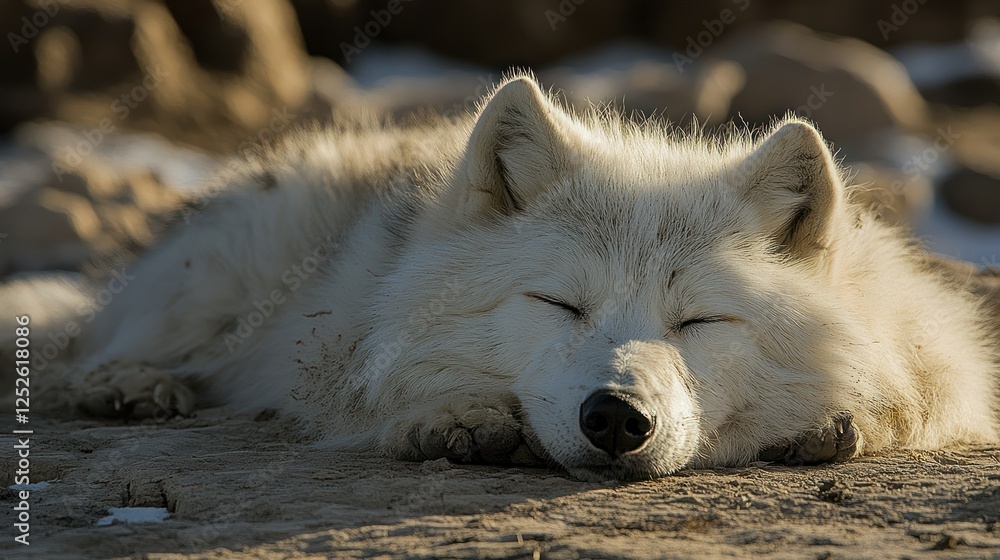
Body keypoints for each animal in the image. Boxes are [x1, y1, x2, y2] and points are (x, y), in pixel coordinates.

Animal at [3, 74, 997, 481]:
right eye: (560, 304)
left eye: (698, 322)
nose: (615, 418)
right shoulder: (343, 350)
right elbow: (387, 393)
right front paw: (455, 418)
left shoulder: (937, 357)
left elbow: (914, 404)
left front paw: (836, 422)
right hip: (217, 277)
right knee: (85, 356)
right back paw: (129, 384)